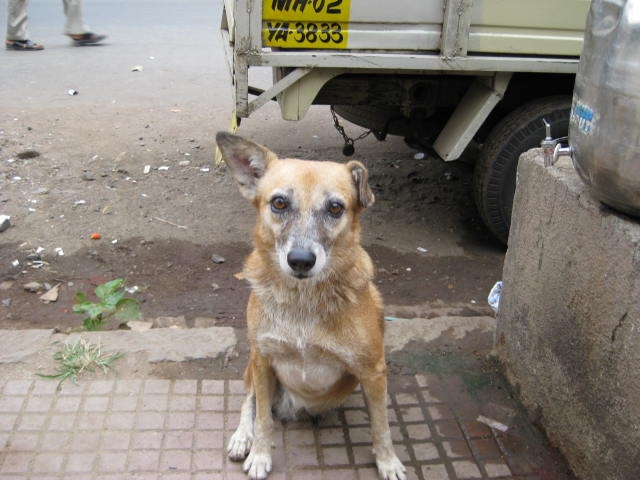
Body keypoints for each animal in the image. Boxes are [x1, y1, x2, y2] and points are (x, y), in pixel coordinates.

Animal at [216, 132, 406, 480]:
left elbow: (381, 426)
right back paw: (241, 437)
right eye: (279, 202)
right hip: (252, 363)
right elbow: (262, 419)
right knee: (249, 402)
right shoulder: (263, 360)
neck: (302, 300)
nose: (301, 261)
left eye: (335, 207)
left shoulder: (374, 372)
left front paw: (388, 462)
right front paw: (260, 454)